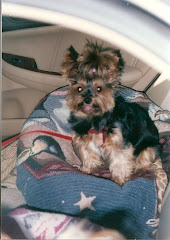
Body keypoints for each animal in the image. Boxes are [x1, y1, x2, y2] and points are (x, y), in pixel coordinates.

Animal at [61, 40, 160, 186]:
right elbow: (88, 155)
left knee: (144, 160)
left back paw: (138, 169)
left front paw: (120, 182)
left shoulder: (118, 144)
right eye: (79, 88)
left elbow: (120, 162)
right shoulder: (86, 141)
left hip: (150, 148)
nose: (87, 99)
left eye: (99, 88)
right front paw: (87, 170)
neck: (94, 118)